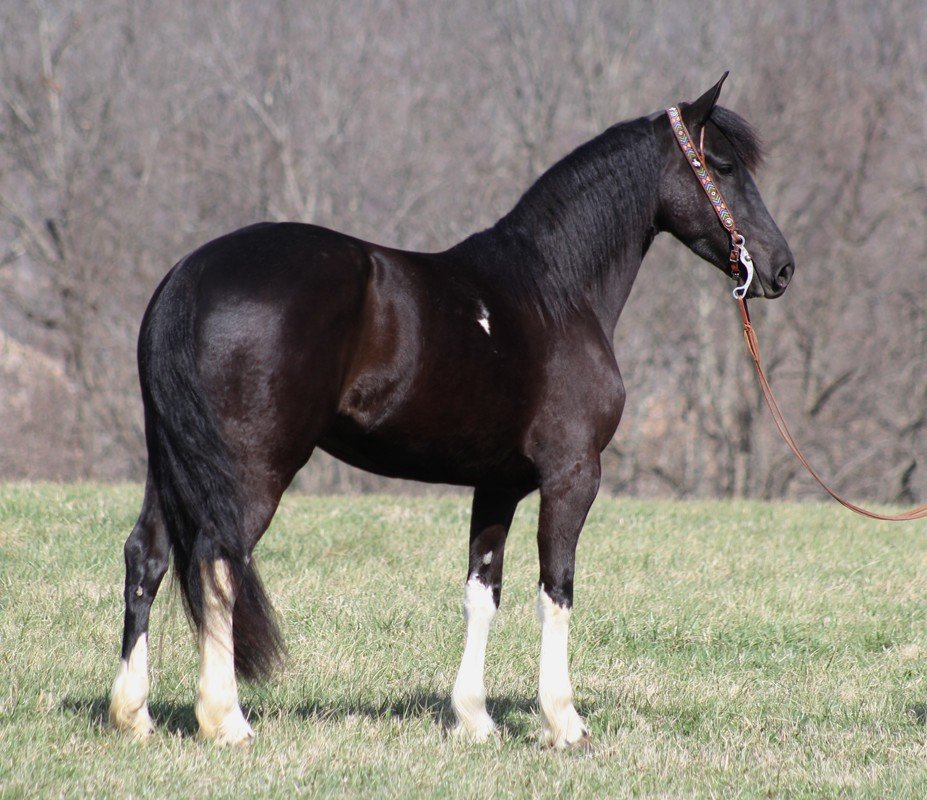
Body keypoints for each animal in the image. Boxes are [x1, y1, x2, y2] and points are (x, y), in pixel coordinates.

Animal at [109, 75, 794, 749]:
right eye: (723, 165)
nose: (781, 267)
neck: (553, 291)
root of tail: (190, 276)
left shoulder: (497, 485)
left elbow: (481, 593)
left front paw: (474, 718)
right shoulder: (571, 476)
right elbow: (557, 590)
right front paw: (563, 722)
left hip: (173, 466)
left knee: (148, 555)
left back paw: (133, 714)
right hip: (250, 473)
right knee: (217, 562)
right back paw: (225, 720)